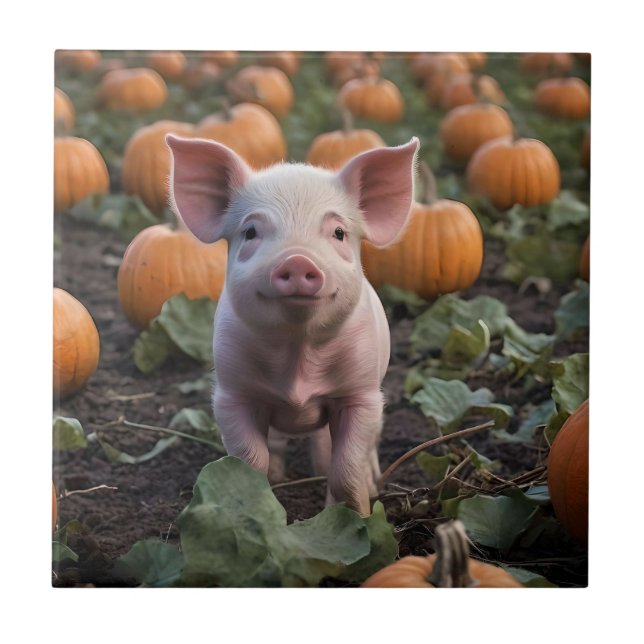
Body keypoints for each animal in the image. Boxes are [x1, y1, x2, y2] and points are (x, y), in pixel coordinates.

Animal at [166, 134, 419, 517]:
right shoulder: (232, 395)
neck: (298, 355)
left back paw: (370, 483)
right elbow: (250, 460)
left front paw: (358, 518)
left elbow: (346, 469)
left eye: (339, 232)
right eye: (251, 231)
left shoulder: (362, 394)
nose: (298, 260)